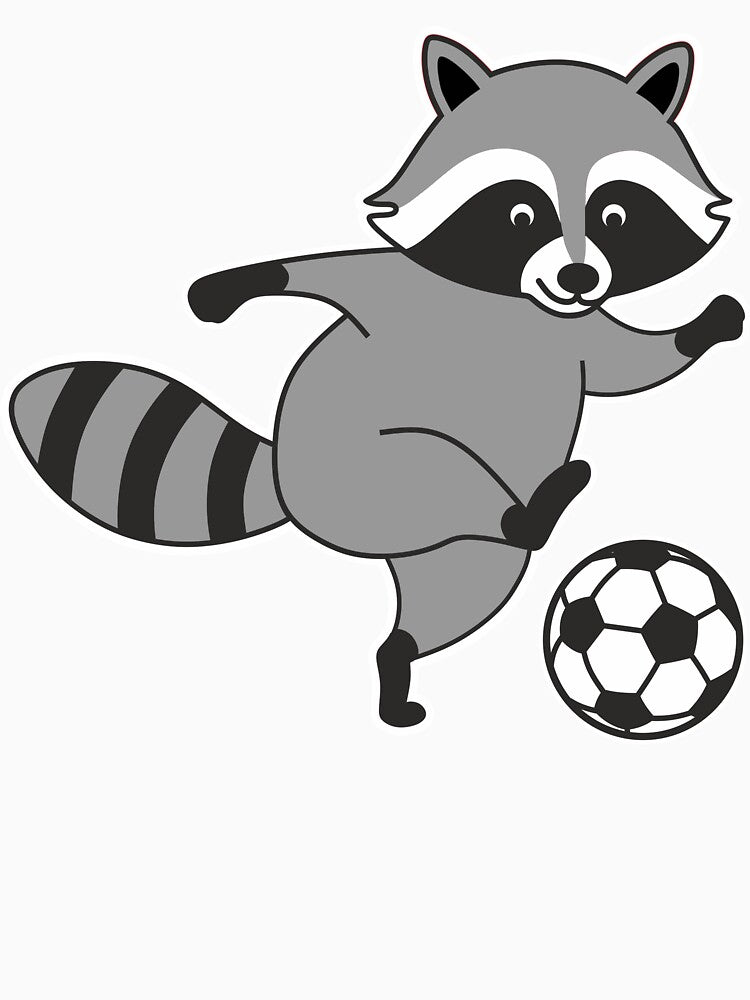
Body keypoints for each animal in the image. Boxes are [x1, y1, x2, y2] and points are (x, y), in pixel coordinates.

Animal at [11, 37, 743, 727]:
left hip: (440, 543)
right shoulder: (398, 288)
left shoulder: (578, 333)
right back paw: (530, 514)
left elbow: (633, 364)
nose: (579, 278)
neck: (513, 304)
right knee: (438, 471)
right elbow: (324, 273)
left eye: (617, 215)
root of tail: (285, 487)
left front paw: (699, 328)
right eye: (519, 214)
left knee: (467, 590)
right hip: (358, 472)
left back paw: (405, 653)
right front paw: (237, 285)